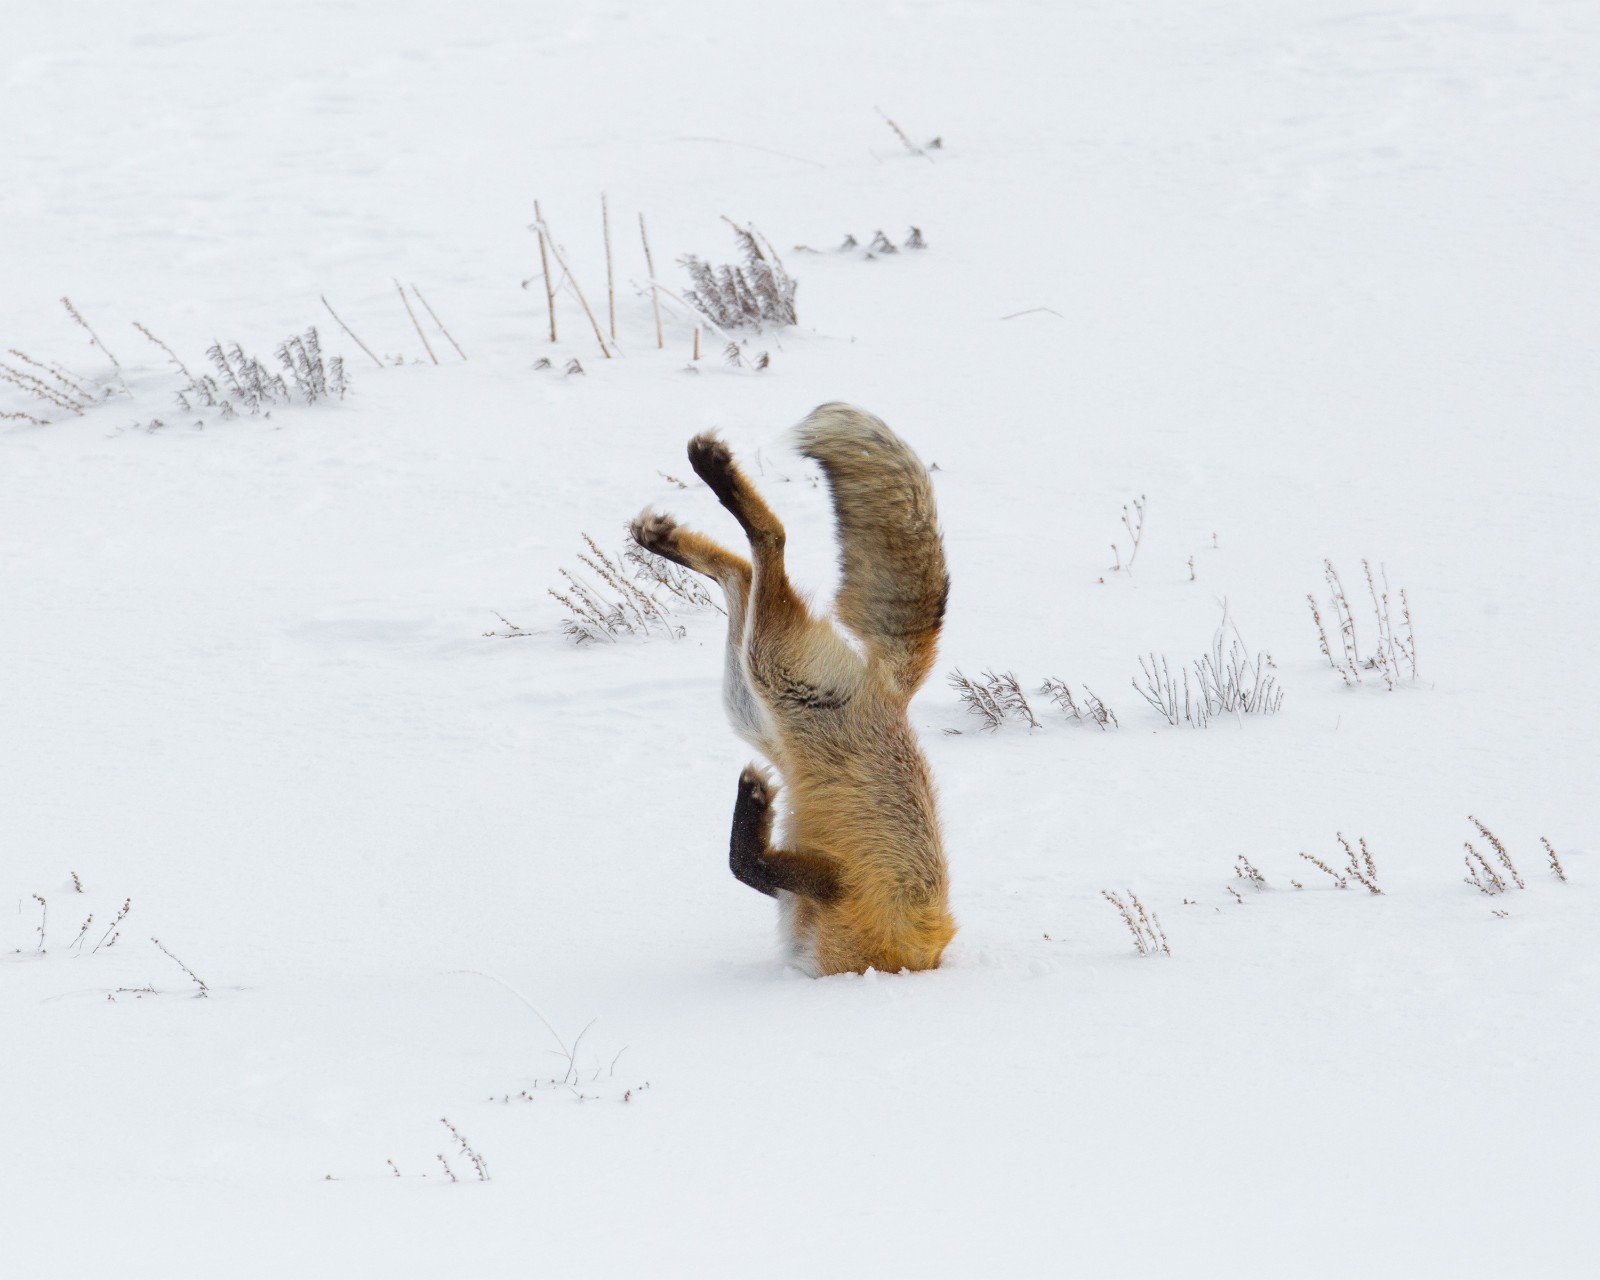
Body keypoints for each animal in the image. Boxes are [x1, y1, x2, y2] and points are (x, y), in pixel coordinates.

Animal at [631, 403, 955, 977]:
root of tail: (893, 689)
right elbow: (746, 867)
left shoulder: (838, 889)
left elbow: (745, 864)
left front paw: (754, 799)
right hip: (757, 690)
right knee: (748, 565)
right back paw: (674, 522)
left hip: (769, 677)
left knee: (764, 549)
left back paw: (703, 485)